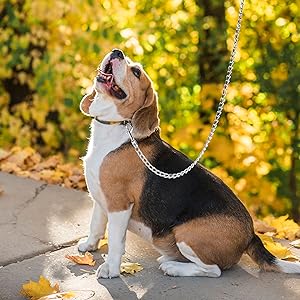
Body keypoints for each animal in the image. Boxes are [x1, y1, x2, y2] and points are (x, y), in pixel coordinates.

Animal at [79, 49, 300, 278]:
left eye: (137, 72)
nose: (117, 52)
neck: (118, 127)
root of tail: (251, 235)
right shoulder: (100, 199)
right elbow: (95, 225)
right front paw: (89, 246)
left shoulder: (119, 204)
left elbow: (115, 242)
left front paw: (111, 269)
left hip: (186, 234)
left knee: (214, 271)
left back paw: (174, 267)